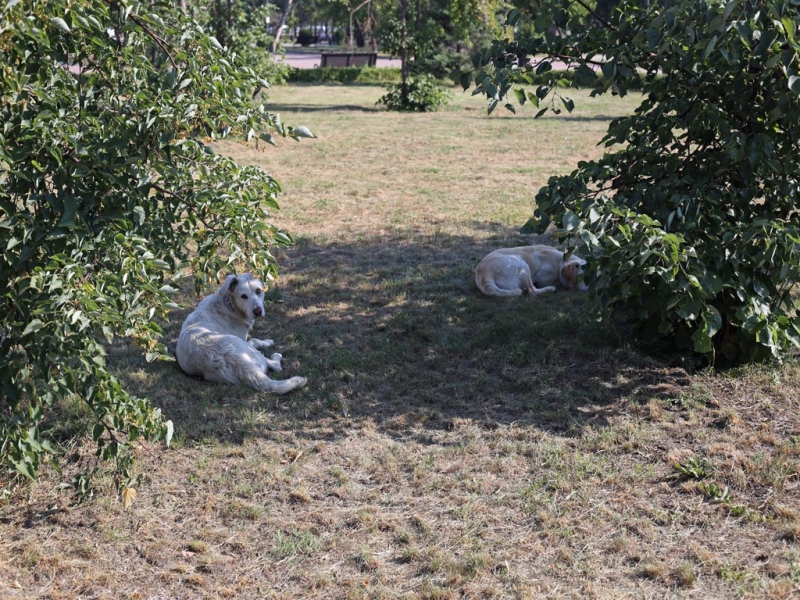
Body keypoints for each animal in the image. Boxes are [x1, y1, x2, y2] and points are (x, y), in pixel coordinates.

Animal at [177, 274, 308, 396]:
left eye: (258, 291)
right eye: (243, 296)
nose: (258, 311)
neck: (228, 305)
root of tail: (241, 366)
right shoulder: (244, 339)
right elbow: (254, 340)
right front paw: (267, 342)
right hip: (250, 351)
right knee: (276, 366)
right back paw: (276, 356)